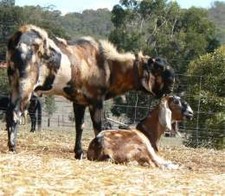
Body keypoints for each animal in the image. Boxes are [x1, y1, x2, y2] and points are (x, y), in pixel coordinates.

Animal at [6, 24, 176, 158]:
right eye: (159, 68)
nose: (173, 82)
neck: (108, 65)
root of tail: (21, 34)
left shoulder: (79, 101)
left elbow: (79, 127)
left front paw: (79, 153)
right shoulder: (96, 100)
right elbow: (98, 127)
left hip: (14, 85)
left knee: (9, 112)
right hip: (25, 85)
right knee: (15, 112)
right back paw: (13, 147)